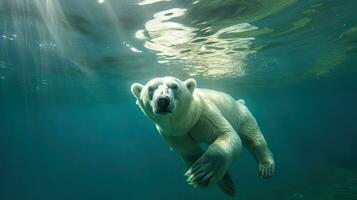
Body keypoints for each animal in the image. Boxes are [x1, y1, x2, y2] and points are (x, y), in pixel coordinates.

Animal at [129, 76, 274, 197]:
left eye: (174, 86)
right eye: (150, 88)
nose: (163, 101)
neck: (185, 122)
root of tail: (239, 102)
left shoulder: (202, 115)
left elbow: (226, 134)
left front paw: (201, 173)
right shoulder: (174, 134)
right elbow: (191, 151)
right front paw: (226, 185)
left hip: (241, 116)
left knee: (253, 137)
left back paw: (266, 166)